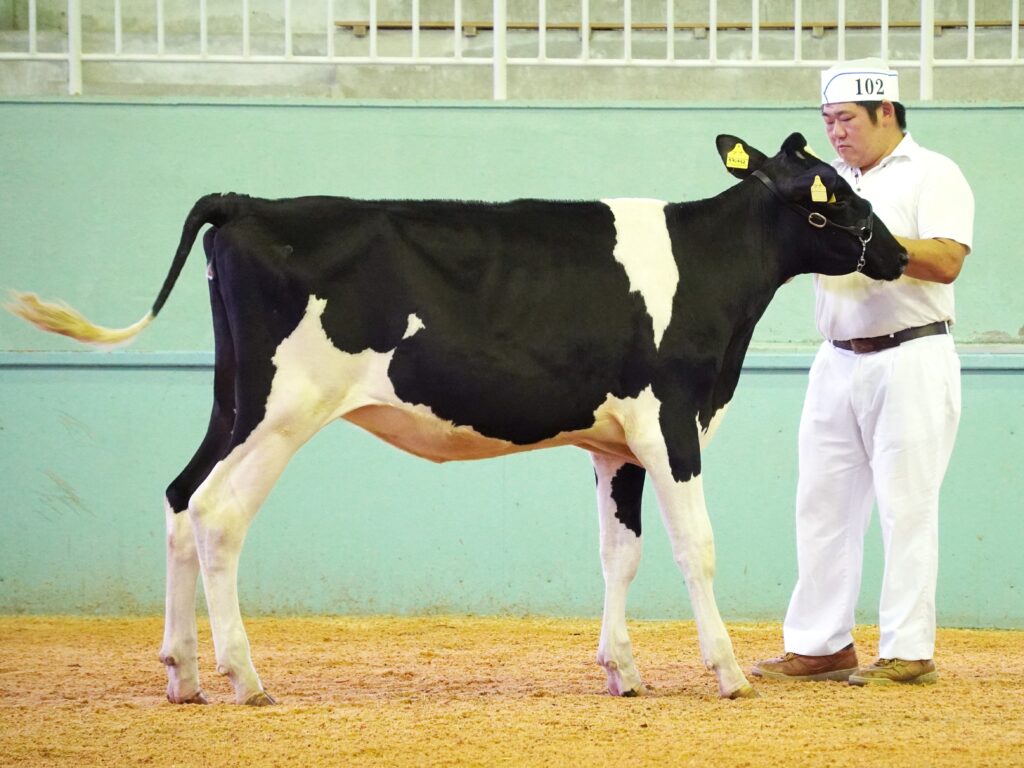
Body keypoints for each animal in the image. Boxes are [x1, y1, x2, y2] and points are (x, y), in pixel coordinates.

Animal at [8, 131, 905, 704]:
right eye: (831, 195)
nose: (896, 253)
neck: (710, 271)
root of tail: (246, 202)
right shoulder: (671, 422)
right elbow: (697, 550)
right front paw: (727, 672)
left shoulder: (613, 445)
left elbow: (619, 556)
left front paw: (623, 671)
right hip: (283, 409)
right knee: (217, 512)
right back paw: (245, 678)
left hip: (234, 398)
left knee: (177, 498)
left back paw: (184, 674)